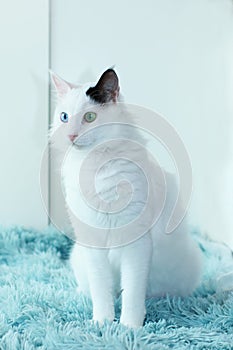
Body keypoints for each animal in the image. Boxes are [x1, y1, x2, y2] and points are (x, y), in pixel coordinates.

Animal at [50, 67, 202, 328]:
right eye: (64, 117)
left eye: (90, 117)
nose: (70, 135)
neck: (97, 166)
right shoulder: (94, 243)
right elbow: (101, 289)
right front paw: (102, 322)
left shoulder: (136, 242)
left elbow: (132, 291)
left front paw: (129, 327)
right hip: (78, 255)